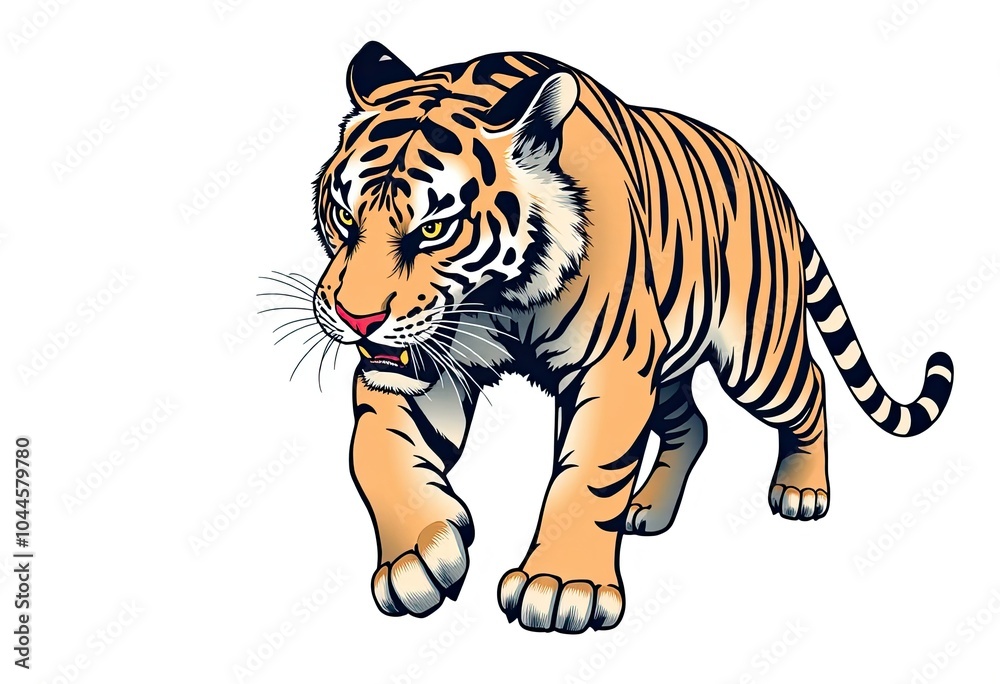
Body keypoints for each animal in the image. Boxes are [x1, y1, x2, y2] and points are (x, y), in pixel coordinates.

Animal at [296, 41, 954, 634]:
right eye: (344, 217)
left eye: (434, 229)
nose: (355, 318)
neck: (498, 300)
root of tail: (774, 187)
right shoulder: (424, 366)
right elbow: (374, 452)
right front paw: (418, 558)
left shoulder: (611, 367)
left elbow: (589, 474)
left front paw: (562, 587)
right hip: (667, 369)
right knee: (694, 425)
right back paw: (647, 510)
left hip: (755, 358)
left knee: (811, 387)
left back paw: (800, 491)